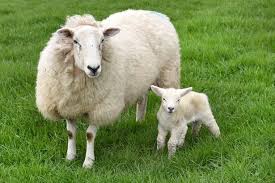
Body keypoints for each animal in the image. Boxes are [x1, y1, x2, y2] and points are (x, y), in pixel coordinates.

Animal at [36, 9, 181, 168]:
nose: (94, 68)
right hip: (142, 80)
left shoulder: (101, 107)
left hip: (169, 73)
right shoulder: (68, 106)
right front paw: (70, 157)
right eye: (75, 41)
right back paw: (139, 121)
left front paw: (88, 162)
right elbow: (70, 133)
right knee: (142, 99)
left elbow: (89, 135)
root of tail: (155, 13)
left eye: (102, 41)